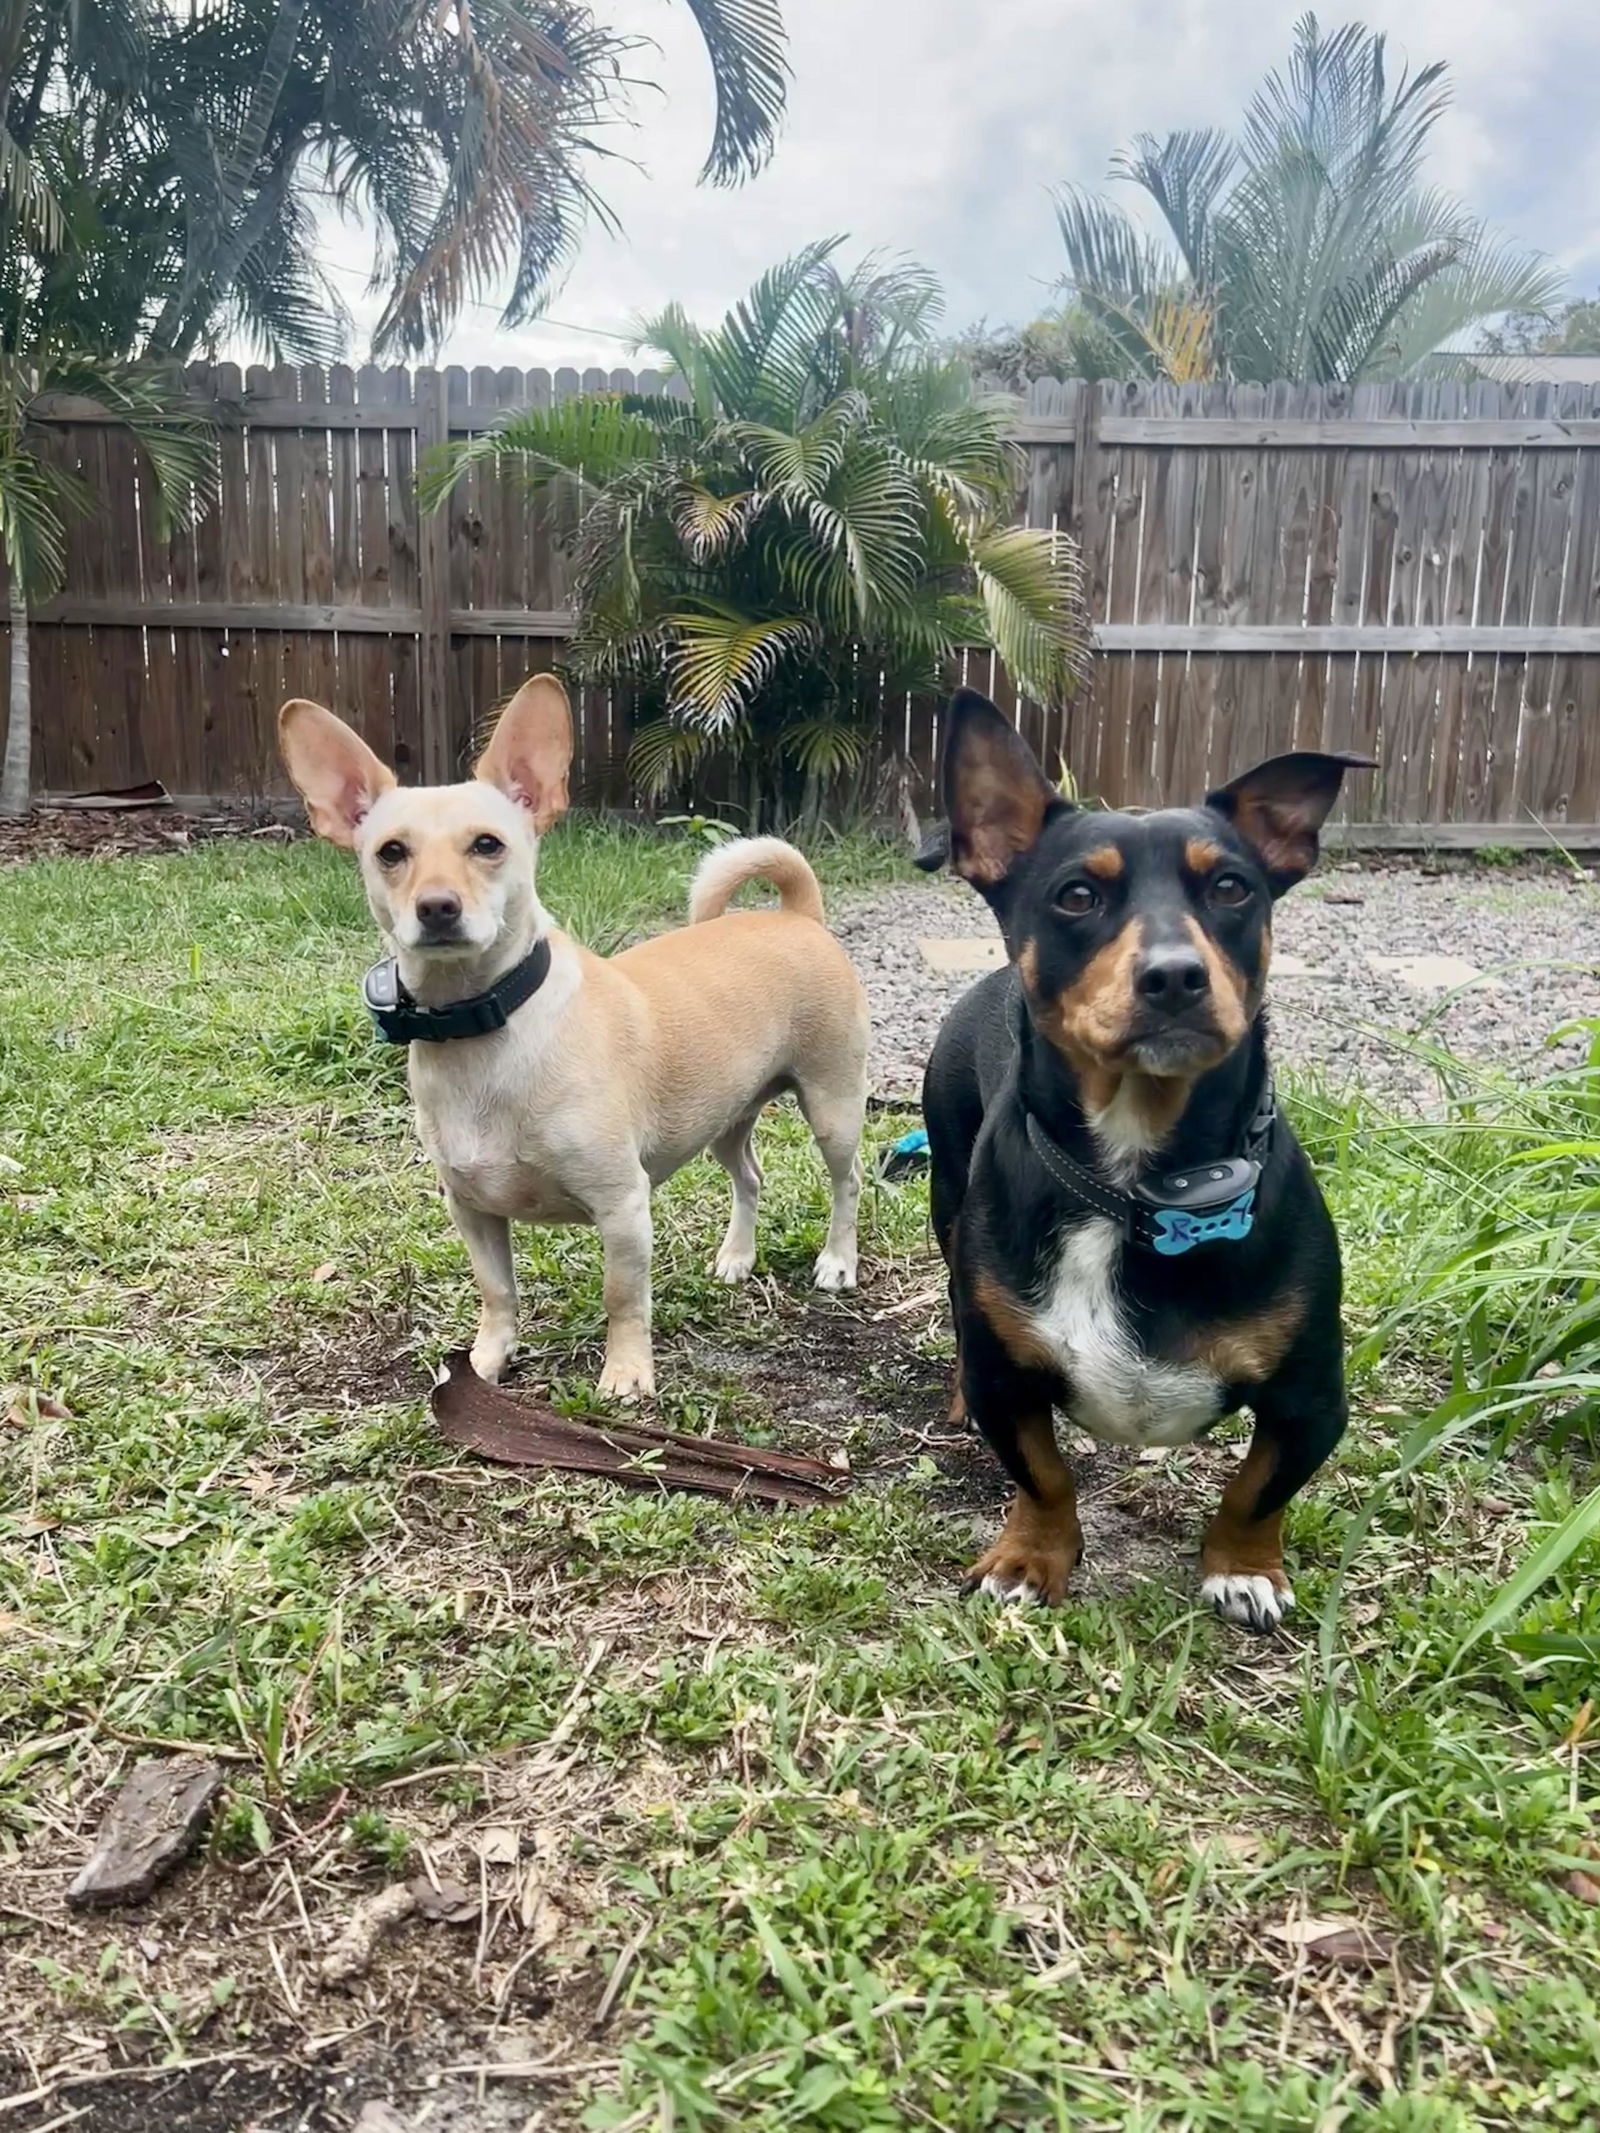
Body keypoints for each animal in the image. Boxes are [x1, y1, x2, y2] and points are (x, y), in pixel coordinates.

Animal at [281, 669, 870, 1399]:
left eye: (488, 844)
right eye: (391, 853)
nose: (438, 907)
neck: (486, 1027)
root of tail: (797, 915)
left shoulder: (622, 1208)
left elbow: (623, 1297)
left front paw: (626, 1373)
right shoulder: (472, 1210)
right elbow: (497, 1292)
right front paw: (487, 1361)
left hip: (833, 1107)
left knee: (849, 1181)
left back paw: (838, 1261)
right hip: (723, 1119)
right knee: (751, 1175)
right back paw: (737, 1255)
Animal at [925, 691, 1382, 1621]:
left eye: (1232, 886)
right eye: (1076, 895)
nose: (1174, 975)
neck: (1133, 1188)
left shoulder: (1312, 1401)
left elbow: (1256, 1490)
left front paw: (1243, 1566)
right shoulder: (1007, 1388)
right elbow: (1044, 1475)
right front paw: (1030, 1557)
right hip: (947, 1203)